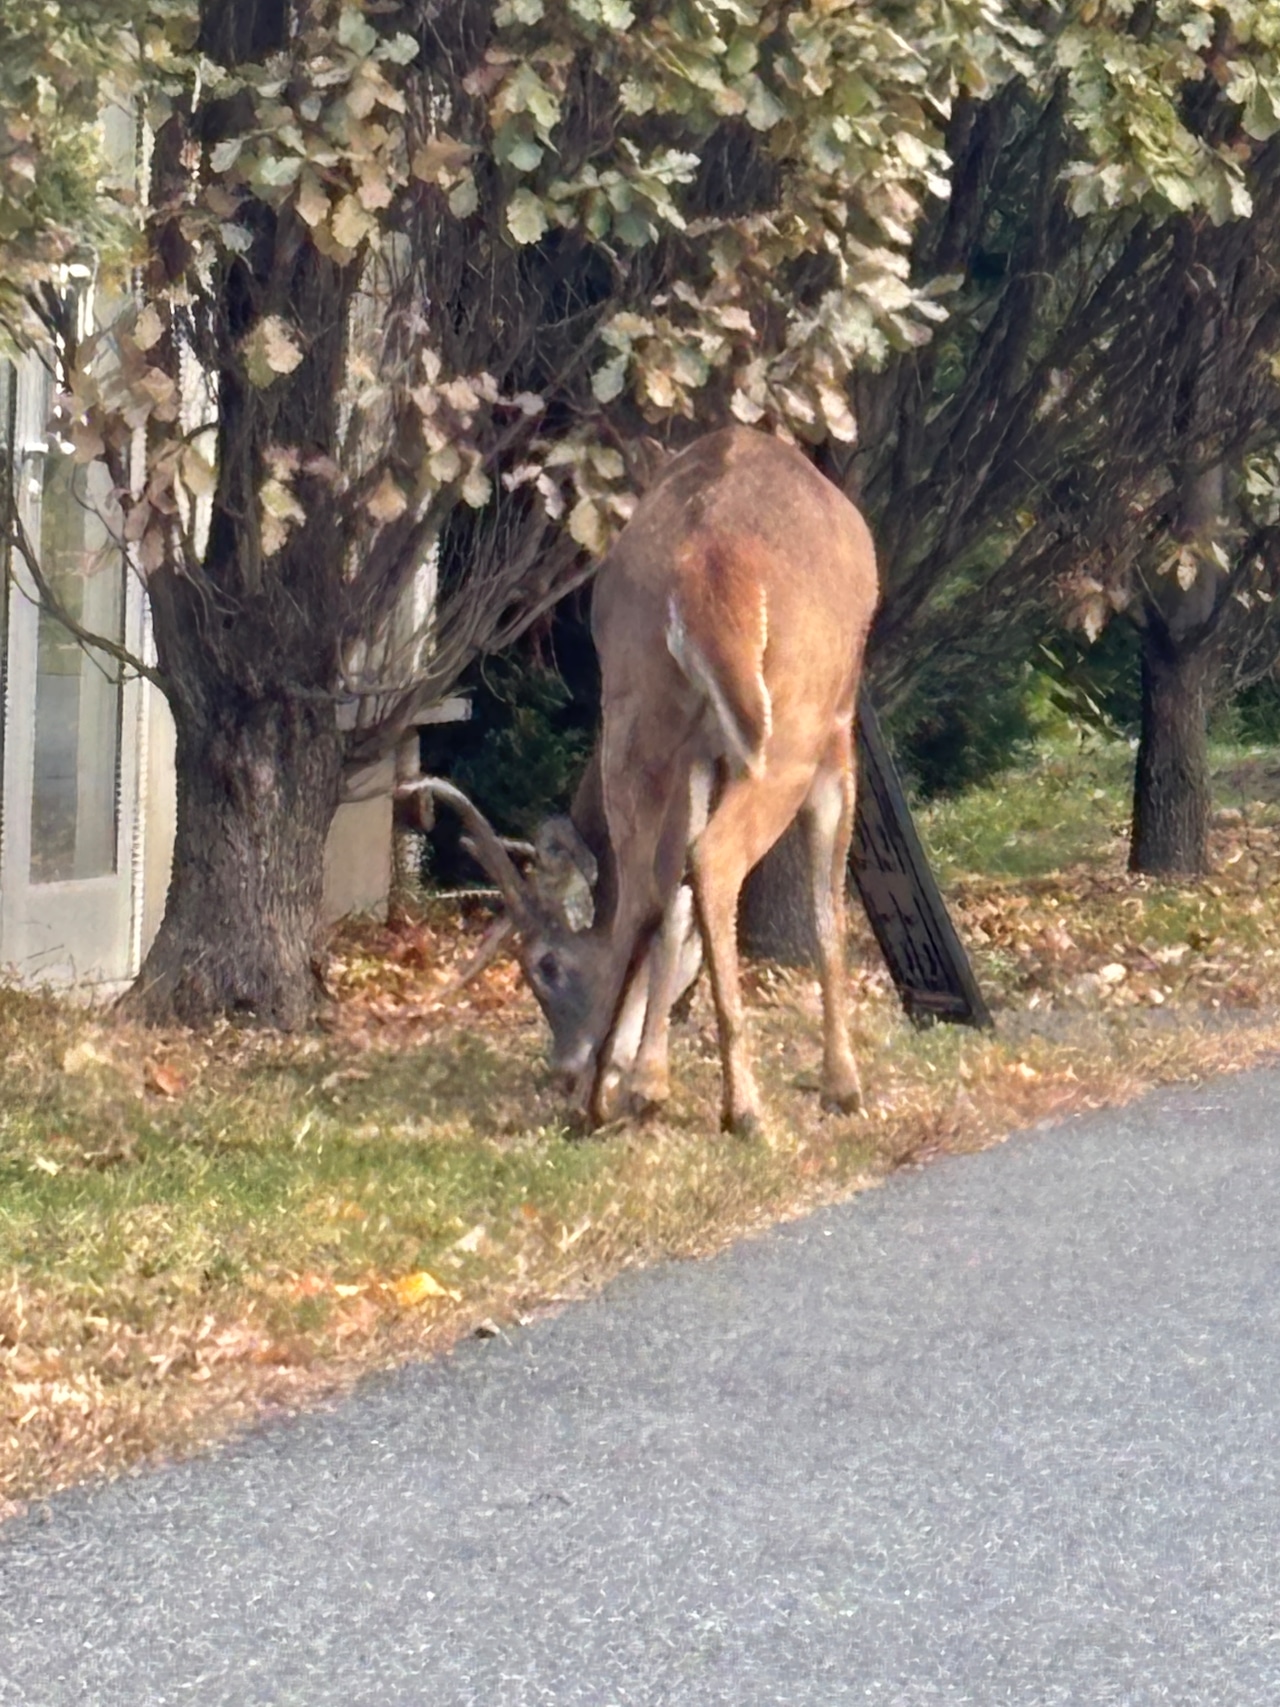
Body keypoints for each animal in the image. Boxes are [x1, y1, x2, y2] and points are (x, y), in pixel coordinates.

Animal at [426, 425, 879, 1135]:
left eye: (544, 965)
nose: (562, 1068)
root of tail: (702, 566)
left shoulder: (698, 753)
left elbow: (673, 905)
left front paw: (644, 1076)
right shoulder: (838, 731)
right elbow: (825, 907)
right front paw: (843, 1084)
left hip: (636, 699)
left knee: (647, 881)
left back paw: (603, 1100)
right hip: (791, 726)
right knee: (715, 861)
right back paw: (742, 1106)